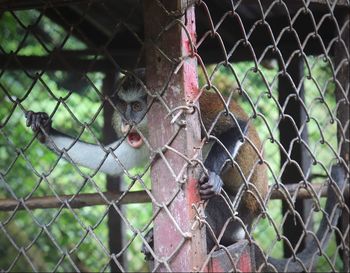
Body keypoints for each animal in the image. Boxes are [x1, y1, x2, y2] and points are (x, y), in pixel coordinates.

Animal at [24, 69, 348, 270]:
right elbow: (114, 159)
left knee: (217, 195)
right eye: (125, 107)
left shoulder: (197, 108)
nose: (128, 122)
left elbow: (235, 126)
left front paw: (213, 177)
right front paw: (45, 128)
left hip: (238, 215)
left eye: (138, 106)